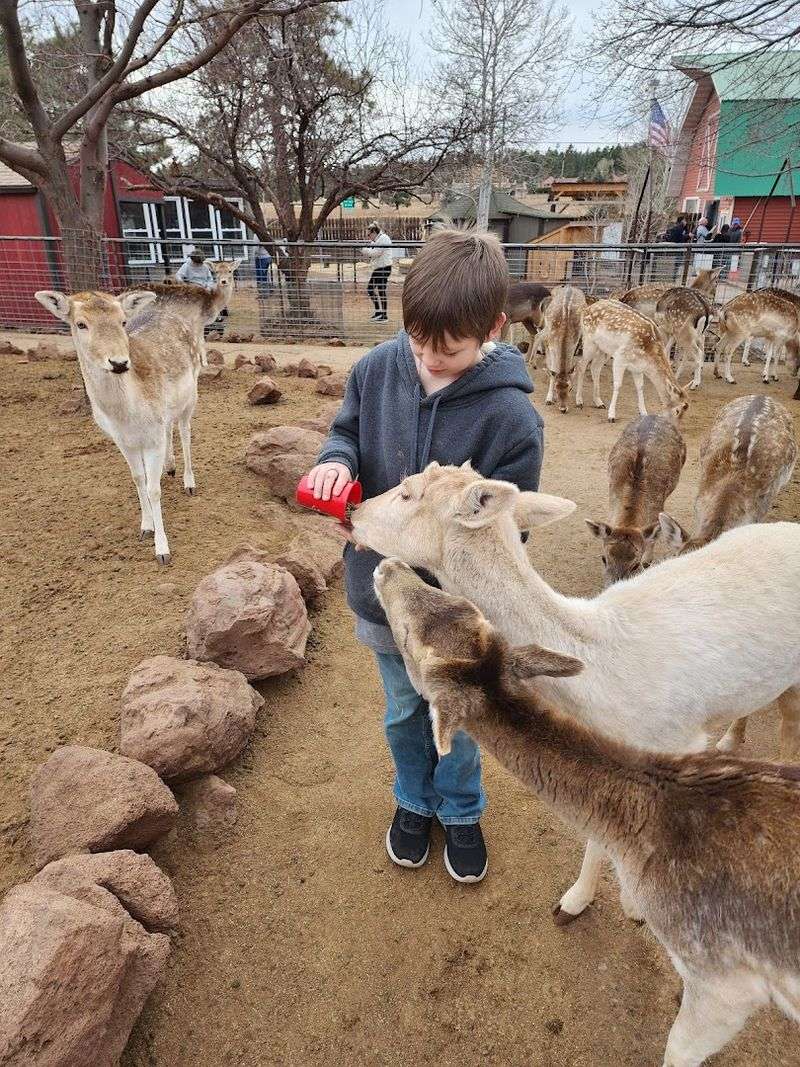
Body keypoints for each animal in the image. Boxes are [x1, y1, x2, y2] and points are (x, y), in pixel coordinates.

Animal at [35, 289, 201, 564]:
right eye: (80, 324)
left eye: (123, 321)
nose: (120, 363)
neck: (125, 415)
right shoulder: (123, 440)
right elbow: (138, 479)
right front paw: (146, 527)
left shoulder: (152, 437)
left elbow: (153, 489)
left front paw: (162, 550)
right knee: (169, 426)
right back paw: (169, 467)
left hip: (192, 392)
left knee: (185, 431)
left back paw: (189, 481)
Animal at [350, 461, 800, 924]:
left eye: (407, 492)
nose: (353, 511)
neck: (595, 682)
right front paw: (585, 901)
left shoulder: (677, 744)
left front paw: (609, 906)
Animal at [374, 556, 800, 1067]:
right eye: (459, 603)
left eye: (408, 638)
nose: (387, 565)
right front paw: (608, 906)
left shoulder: (723, 977)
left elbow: (678, 1048)